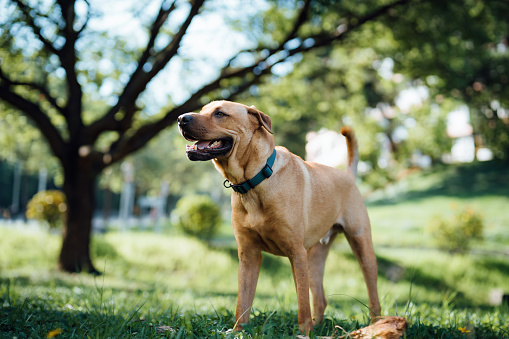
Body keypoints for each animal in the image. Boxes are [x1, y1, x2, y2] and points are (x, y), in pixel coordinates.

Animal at [177, 100, 380, 332]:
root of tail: (348, 176)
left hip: (361, 247)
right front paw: (238, 332)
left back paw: (377, 325)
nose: (181, 118)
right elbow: (243, 302)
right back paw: (319, 326)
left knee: (372, 296)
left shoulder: (296, 253)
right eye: (202, 110)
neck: (254, 181)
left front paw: (304, 333)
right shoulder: (249, 254)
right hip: (314, 257)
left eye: (220, 113)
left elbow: (302, 303)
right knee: (320, 299)